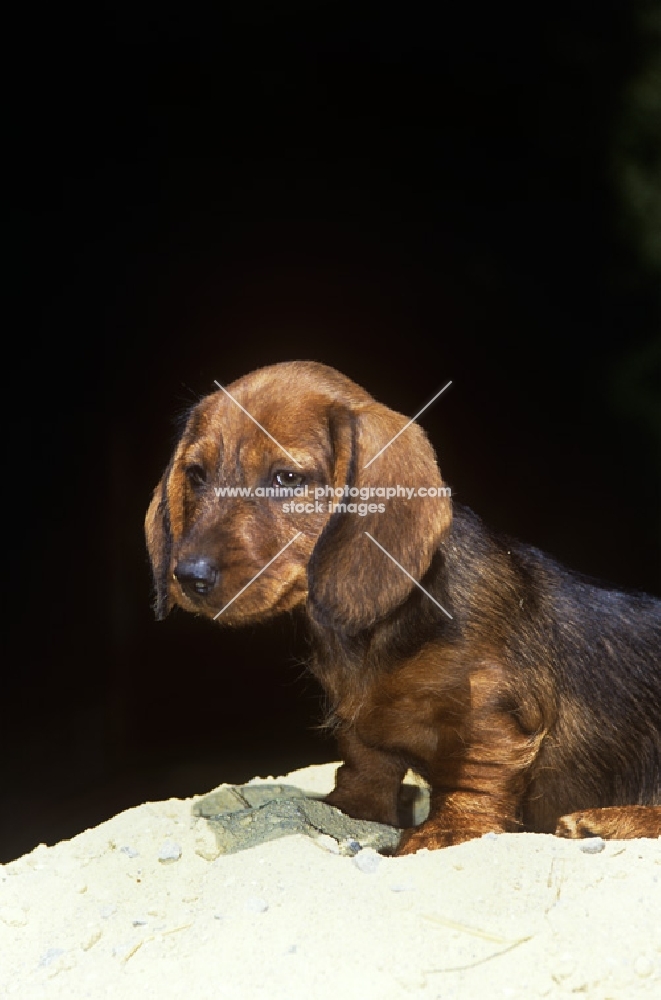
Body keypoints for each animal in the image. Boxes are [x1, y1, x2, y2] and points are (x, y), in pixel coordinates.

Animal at [146, 362, 660, 852]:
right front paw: (348, 806)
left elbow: (475, 773)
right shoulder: (359, 724)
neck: (375, 632)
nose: (188, 576)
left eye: (286, 478)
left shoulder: (491, 708)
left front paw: (446, 830)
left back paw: (604, 819)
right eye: (196, 475)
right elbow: (364, 763)